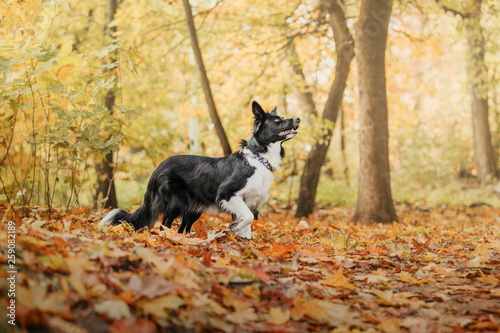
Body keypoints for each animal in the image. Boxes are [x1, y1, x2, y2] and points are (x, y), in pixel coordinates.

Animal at [99, 101, 298, 239]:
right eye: (277, 121)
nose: (298, 118)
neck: (259, 158)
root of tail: (158, 168)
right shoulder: (227, 194)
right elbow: (247, 218)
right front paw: (233, 228)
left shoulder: (249, 201)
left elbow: (247, 226)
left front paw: (244, 242)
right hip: (174, 202)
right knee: (164, 223)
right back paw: (168, 238)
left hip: (192, 209)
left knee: (182, 227)